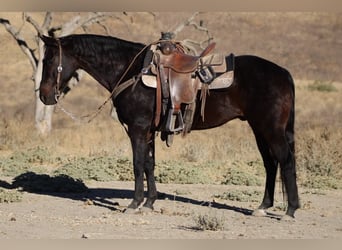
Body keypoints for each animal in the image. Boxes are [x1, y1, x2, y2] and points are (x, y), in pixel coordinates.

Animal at [38, 33, 300, 219]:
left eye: (49, 59)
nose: (44, 95)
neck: (130, 70)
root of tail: (283, 73)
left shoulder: (137, 129)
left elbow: (137, 165)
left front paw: (134, 204)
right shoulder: (149, 131)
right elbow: (149, 165)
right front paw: (149, 202)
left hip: (271, 129)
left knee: (285, 160)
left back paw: (290, 211)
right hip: (259, 129)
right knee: (270, 164)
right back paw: (263, 207)